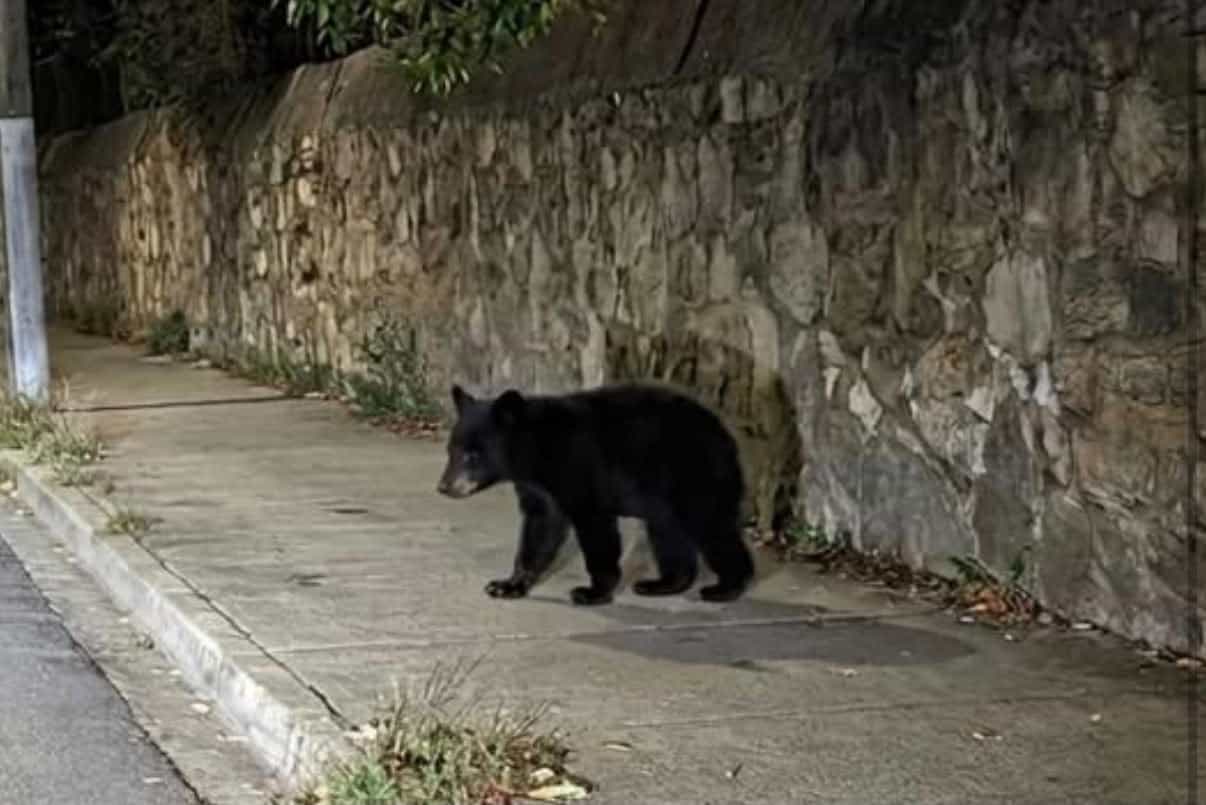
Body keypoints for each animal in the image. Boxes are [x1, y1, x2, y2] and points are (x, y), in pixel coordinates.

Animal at [435, 381, 755, 606]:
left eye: (474, 455)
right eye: (451, 450)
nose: (444, 487)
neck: (538, 450)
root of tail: (727, 435)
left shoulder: (582, 470)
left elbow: (596, 531)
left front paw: (592, 592)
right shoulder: (538, 489)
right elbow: (539, 530)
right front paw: (506, 585)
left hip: (695, 476)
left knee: (711, 527)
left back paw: (725, 587)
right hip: (664, 497)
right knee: (667, 532)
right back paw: (661, 584)